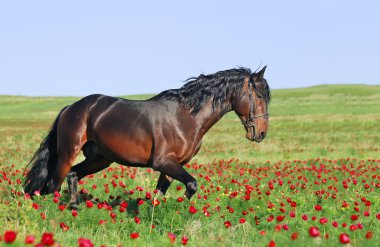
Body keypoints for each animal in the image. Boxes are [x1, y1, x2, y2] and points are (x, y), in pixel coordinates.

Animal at [23, 66, 270, 208]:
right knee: (53, 184)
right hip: (68, 152)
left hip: (100, 159)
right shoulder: (163, 162)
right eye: (258, 95)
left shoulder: (173, 165)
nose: (261, 133)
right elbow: (191, 185)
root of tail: (70, 108)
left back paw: (75, 207)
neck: (186, 117)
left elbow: (159, 196)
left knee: (73, 175)